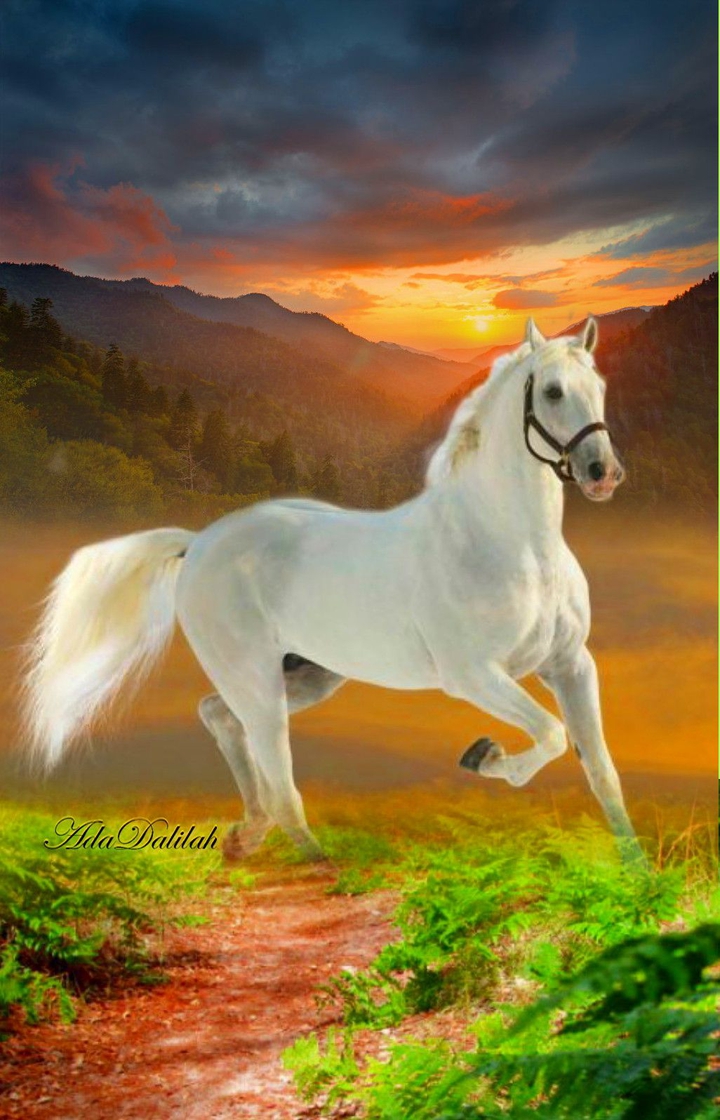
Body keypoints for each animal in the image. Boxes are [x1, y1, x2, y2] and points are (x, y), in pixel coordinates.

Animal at [21, 316, 644, 864]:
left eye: (600, 387)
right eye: (554, 391)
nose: (603, 473)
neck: (512, 545)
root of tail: (198, 544)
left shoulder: (570, 664)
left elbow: (601, 770)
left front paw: (638, 876)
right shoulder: (474, 675)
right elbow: (552, 736)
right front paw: (483, 756)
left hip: (304, 674)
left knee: (219, 717)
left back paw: (247, 836)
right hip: (255, 678)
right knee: (278, 775)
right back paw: (316, 862)